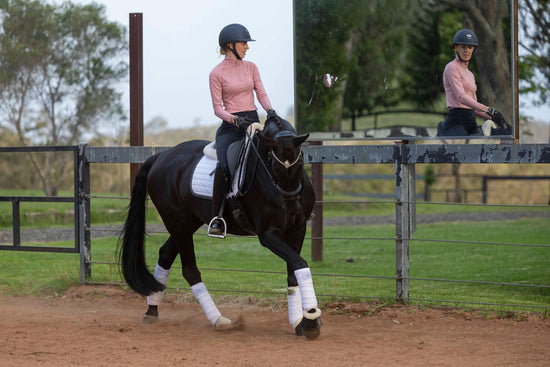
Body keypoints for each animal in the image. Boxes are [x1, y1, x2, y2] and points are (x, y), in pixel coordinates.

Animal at [117, 116, 324, 340]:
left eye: (301, 162)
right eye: (272, 164)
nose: (291, 204)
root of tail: (162, 156)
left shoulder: (297, 230)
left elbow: (293, 270)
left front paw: (299, 322)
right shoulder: (268, 234)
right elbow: (299, 263)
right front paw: (311, 318)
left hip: (186, 223)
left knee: (165, 255)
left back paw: (152, 311)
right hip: (177, 222)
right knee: (190, 271)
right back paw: (219, 320)